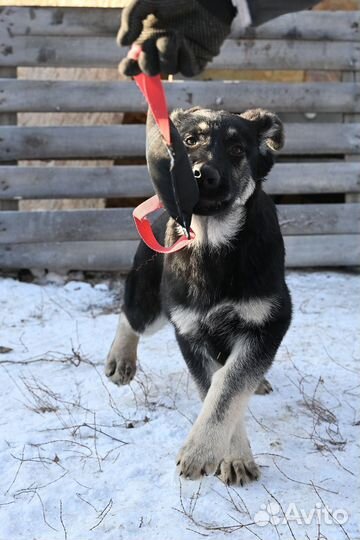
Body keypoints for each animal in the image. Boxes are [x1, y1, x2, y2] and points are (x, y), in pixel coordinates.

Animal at [105, 105, 292, 486]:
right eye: (190, 141)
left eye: (236, 149)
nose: (199, 175)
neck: (212, 244)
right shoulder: (189, 331)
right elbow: (214, 390)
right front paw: (228, 454)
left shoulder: (268, 323)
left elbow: (228, 387)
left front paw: (204, 451)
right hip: (152, 306)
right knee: (130, 316)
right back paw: (121, 359)